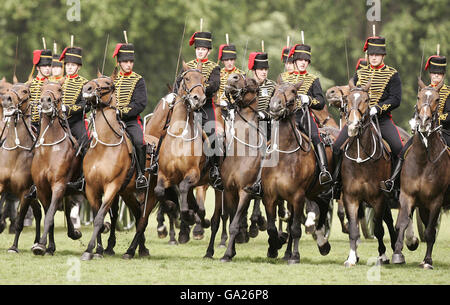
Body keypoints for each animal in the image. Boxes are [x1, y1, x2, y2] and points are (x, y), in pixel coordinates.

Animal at [29, 80, 82, 254]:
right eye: (42, 89)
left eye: (59, 89)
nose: (46, 101)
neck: (50, 149)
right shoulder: (42, 189)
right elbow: (49, 215)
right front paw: (48, 246)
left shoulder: (58, 185)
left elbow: (51, 214)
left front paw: (40, 245)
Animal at [262, 81, 332, 264]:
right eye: (275, 91)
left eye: (293, 92)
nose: (275, 106)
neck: (283, 156)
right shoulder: (270, 197)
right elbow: (272, 228)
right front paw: (274, 247)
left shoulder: (298, 196)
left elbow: (295, 229)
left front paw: (295, 256)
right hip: (310, 193)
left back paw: (321, 243)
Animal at [342, 78, 398, 266]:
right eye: (347, 99)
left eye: (366, 100)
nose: (353, 125)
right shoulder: (350, 198)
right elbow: (353, 228)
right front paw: (351, 257)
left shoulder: (379, 198)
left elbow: (379, 228)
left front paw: (383, 256)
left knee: (388, 221)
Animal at [392, 78, 448, 268]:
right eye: (418, 97)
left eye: (438, 99)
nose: (423, 122)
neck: (424, 160)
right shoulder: (407, 195)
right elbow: (402, 223)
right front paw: (398, 254)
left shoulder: (436, 201)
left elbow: (430, 231)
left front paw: (428, 261)